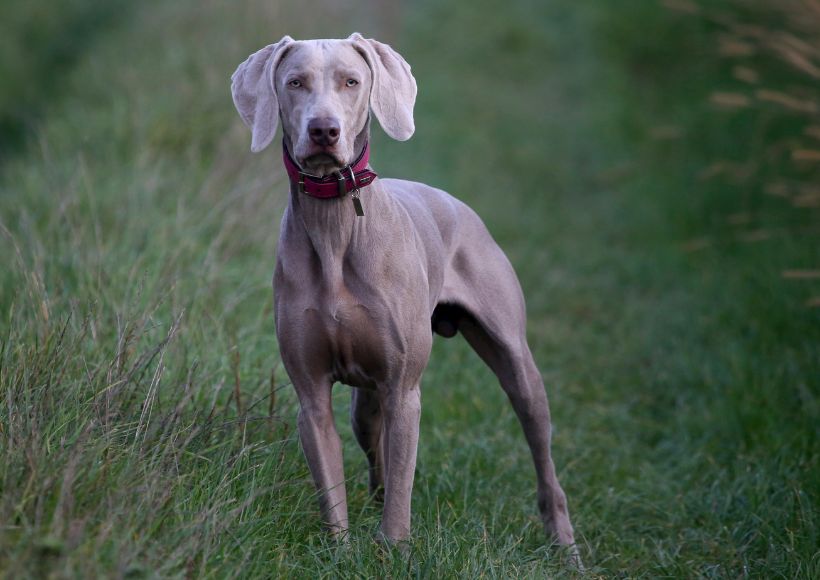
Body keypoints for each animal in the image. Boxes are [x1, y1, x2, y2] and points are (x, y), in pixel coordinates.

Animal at [227, 34, 580, 560]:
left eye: (351, 82)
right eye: (294, 82)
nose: (324, 130)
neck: (335, 224)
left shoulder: (403, 389)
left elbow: (402, 481)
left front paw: (393, 547)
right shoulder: (312, 395)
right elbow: (332, 482)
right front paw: (341, 551)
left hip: (517, 366)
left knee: (540, 450)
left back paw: (563, 541)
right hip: (365, 404)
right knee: (376, 452)